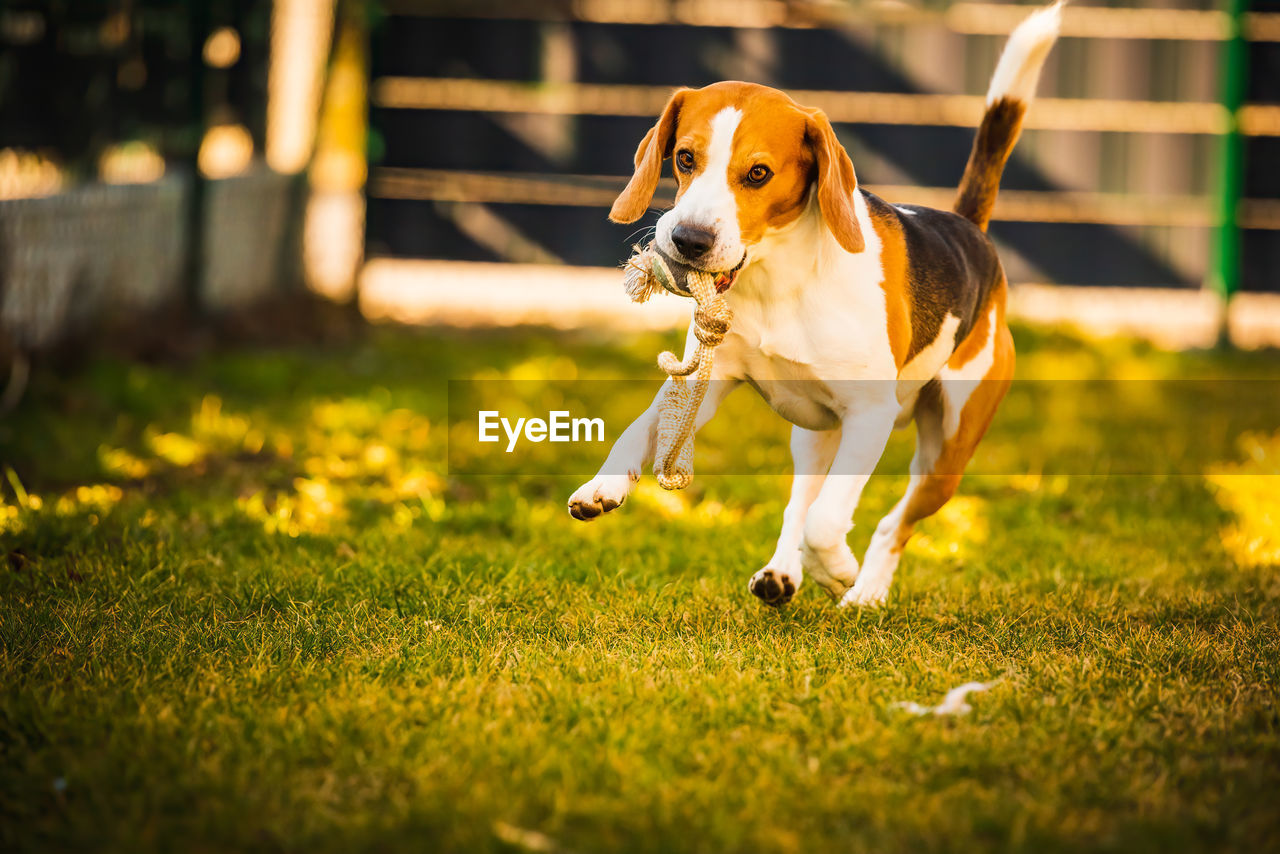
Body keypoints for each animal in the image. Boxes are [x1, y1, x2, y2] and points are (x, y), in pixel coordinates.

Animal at [570, 5, 1059, 606]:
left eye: (758, 173)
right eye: (684, 158)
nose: (688, 240)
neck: (777, 282)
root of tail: (969, 229)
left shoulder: (870, 417)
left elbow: (828, 523)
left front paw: (838, 569)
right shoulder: (706, 382)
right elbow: (640, 430)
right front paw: (604, 483)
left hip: (947, 453)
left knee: (890, 523)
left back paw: (864, 590)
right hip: (815, 434)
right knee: (801, 501)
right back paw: (784, 572)